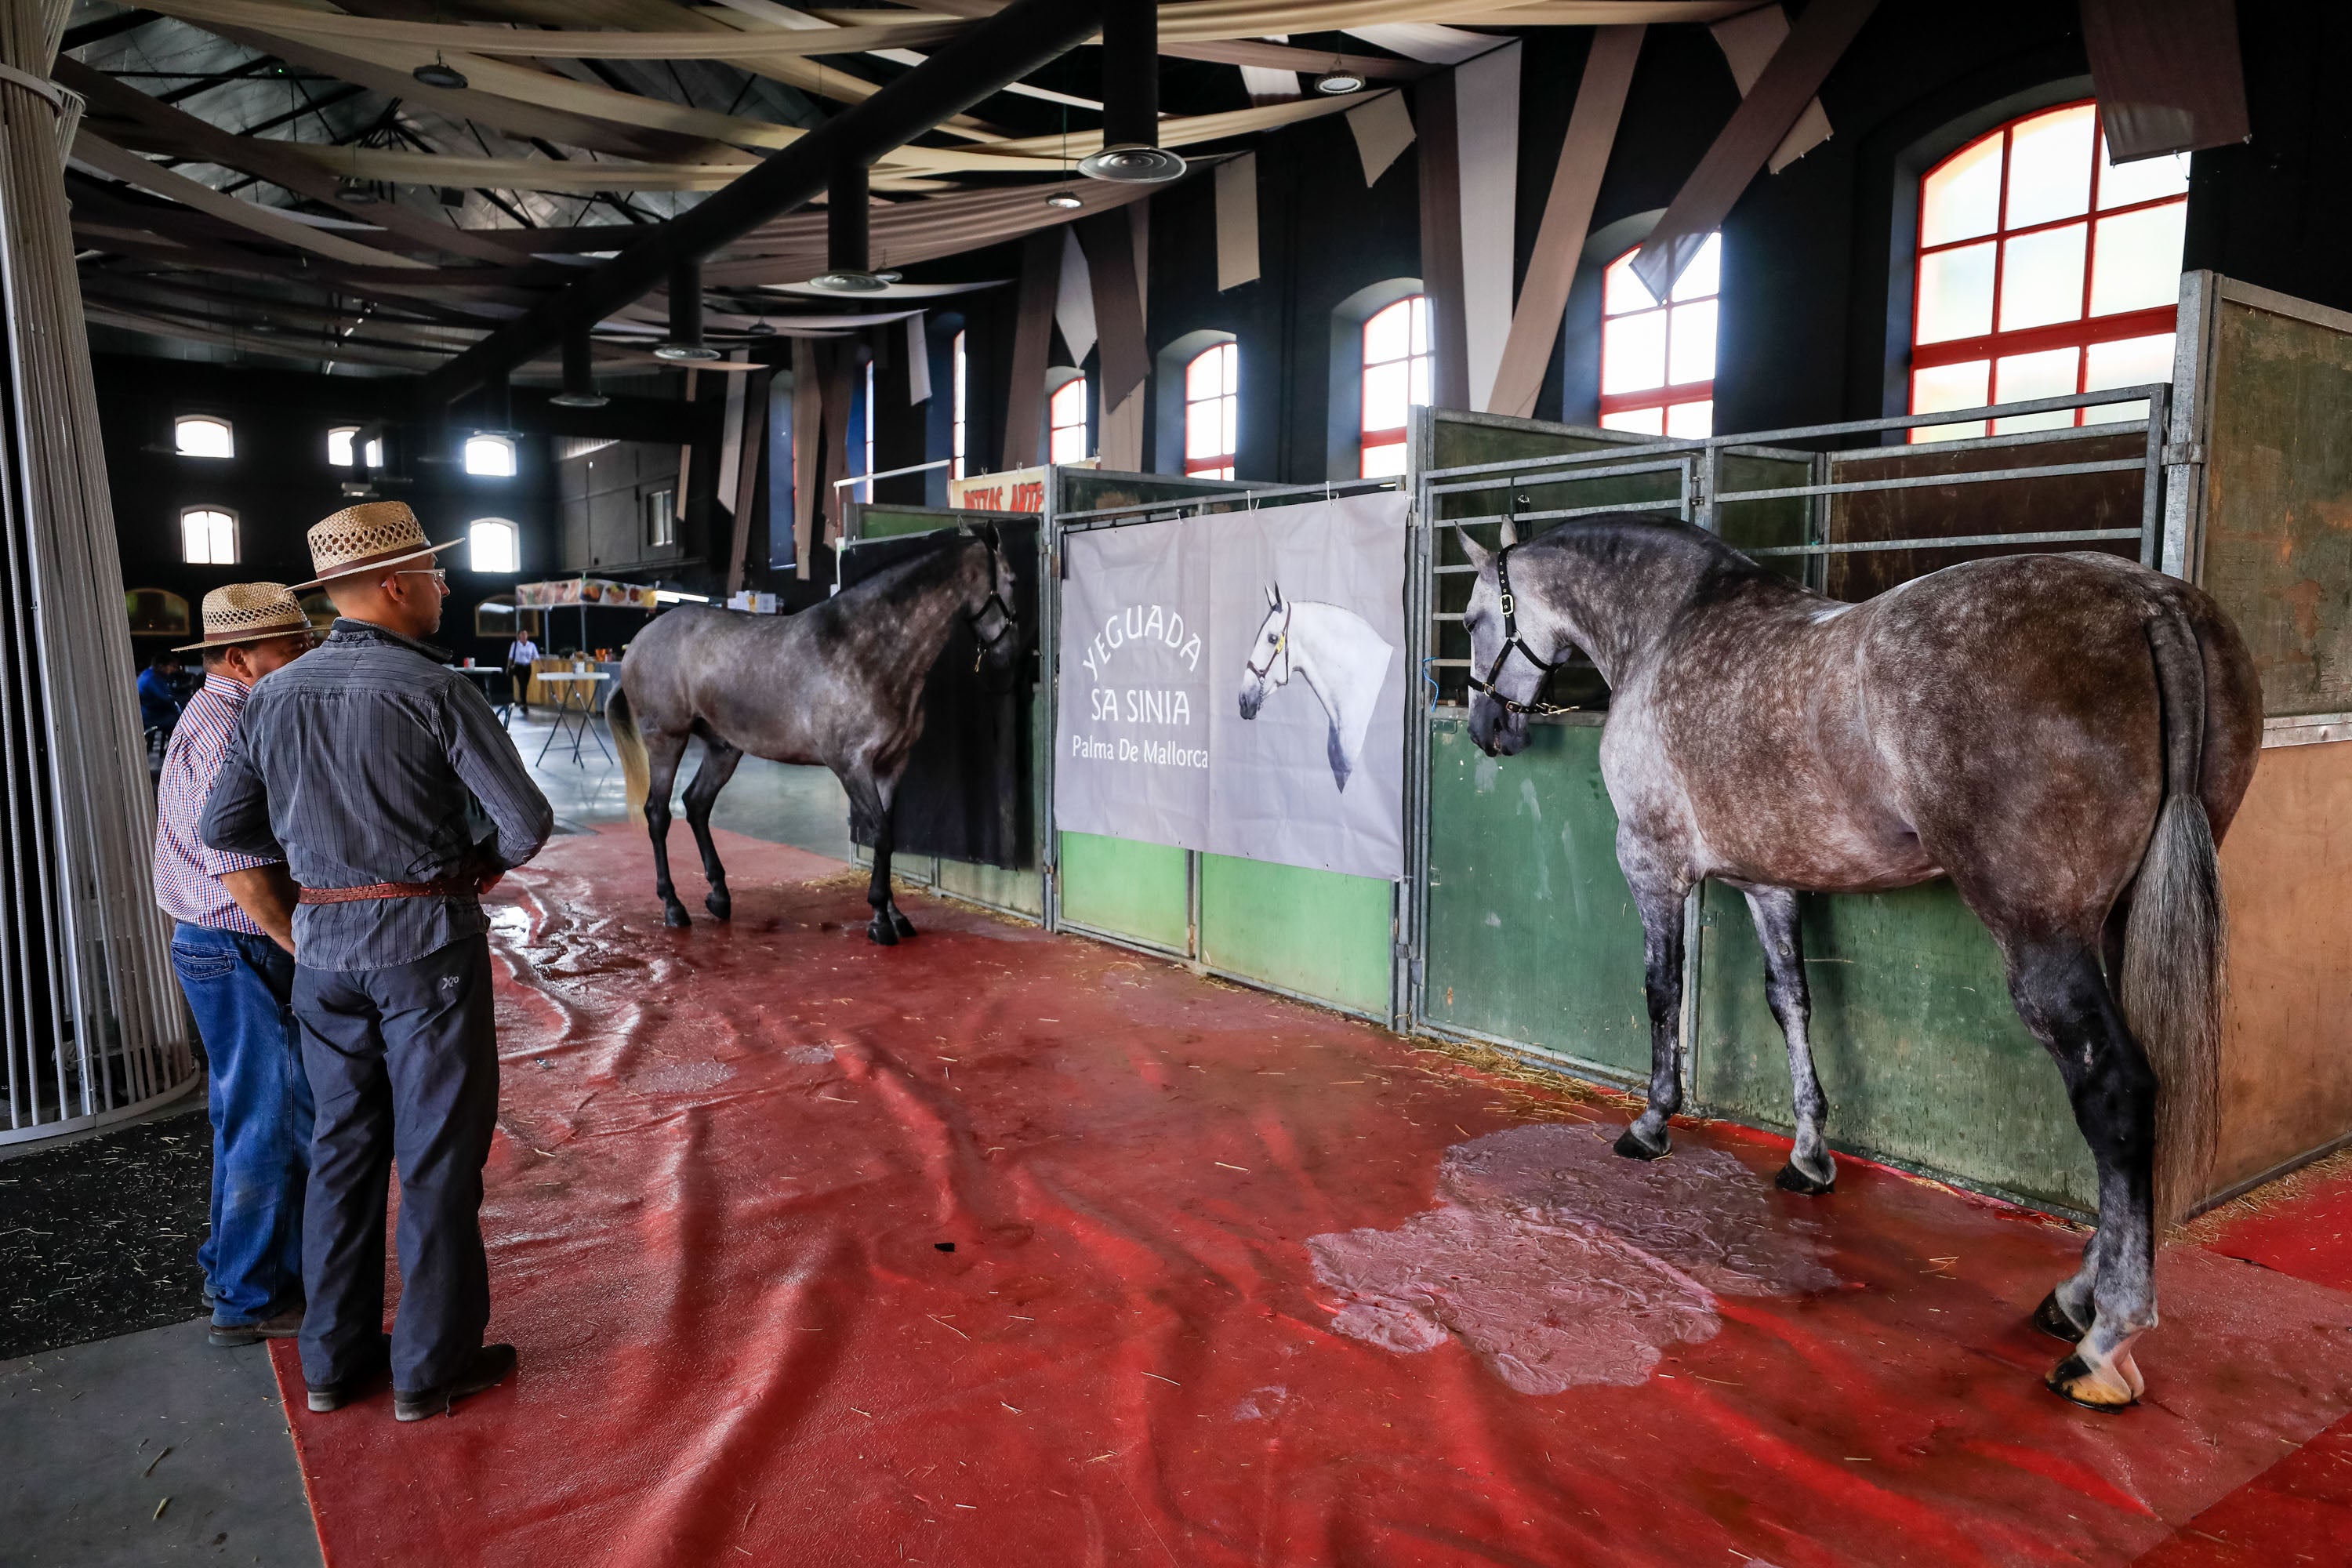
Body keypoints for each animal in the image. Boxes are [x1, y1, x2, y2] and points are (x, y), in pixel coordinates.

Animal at [602, 526, 1016, 945]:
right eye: (1013, 580)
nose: (1011, 657)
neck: (866, 651)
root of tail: (637, 643)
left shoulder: (893, 765)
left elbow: (888, 837)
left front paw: (895, 915)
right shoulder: (852, 765)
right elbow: (880, 834)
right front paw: (880, 921)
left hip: (723, 749)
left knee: (697, 804)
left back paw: (719, 897)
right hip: (666, 741)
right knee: (658, 814)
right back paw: (673, 906)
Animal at [1458, 512, 2267, 1410]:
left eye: (1471, 620)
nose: (1486, 730)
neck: (1670, 628)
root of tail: (2149, 600)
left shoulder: (1651, 864)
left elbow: (1663, 990)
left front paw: (1650, 1123)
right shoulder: (1769, 881)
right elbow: (1791, 1000)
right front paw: (1809, 1158)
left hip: (2042, 933)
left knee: (2113, 1093)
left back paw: (2104, 1341)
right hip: (2121, 921)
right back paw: (2071, 1298)